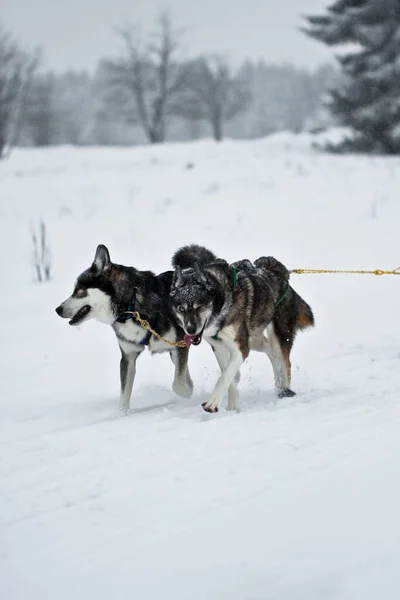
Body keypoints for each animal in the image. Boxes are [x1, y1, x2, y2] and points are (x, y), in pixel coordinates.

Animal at [55, 244, 216, 412]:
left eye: (79, 290)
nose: (58, 310)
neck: (131, 307)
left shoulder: (180, 345)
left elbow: (178, 385)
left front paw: (188, 394)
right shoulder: (128, 356)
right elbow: (123, 398)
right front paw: (121, 414)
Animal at [170, 247, 314, 412]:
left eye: (199, 307)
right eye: (181, 309)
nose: (190, 330)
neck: (223, 303)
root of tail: (278, 272)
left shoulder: (240, 349)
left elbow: (224, 376)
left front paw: (213, 402)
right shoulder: (219, 347)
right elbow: (228, 375)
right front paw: (233, 405)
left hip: (278, 335)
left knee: (285, 364)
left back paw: (285, 391)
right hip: (254, 339)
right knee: (270, 351)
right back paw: (278, 385)